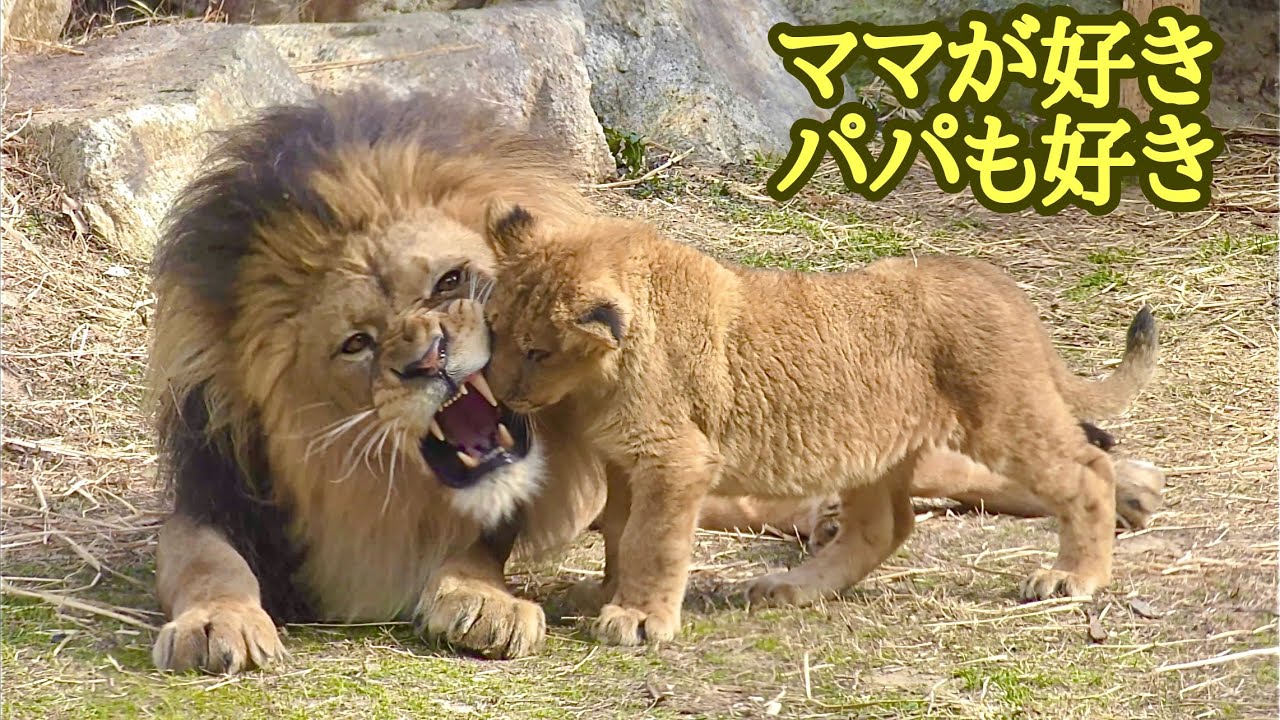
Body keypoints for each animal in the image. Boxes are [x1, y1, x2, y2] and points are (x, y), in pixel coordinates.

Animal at [479, 205, 1159, 646]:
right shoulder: (625, 461)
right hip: (873, 448)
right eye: (493, 328)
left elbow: (653, 540)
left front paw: (640, 618)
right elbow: (620, 536)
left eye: (537, 350)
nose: (497, 388)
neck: (602, 377)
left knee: (1088, 469)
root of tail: (993, 278)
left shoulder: (676, 460)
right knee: (885, 526)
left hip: (1001, 416)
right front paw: (606, 595)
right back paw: (791, 587)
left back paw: (1076, 576)